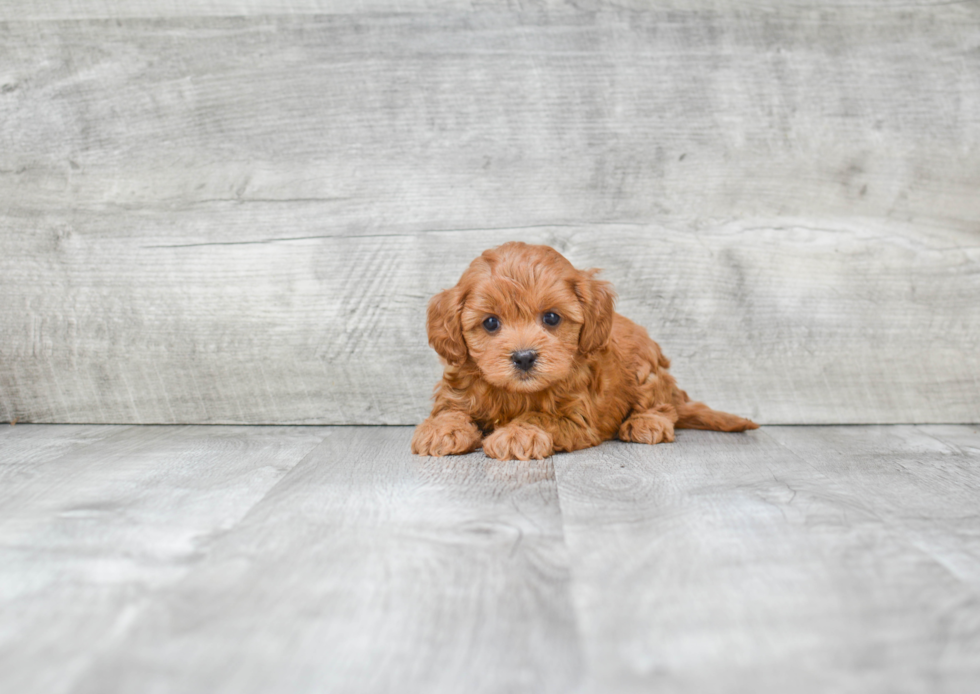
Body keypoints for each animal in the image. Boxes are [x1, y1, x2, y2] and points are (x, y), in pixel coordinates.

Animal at [410, 243, 756, 462]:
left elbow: (539, 416)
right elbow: (450, 410)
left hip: (647, 371)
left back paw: (646, 423)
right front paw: (441, 430)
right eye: (491, 322)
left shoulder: (576, 417)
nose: (524, 357)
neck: (516, 394)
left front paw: (517, 435)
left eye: (551, 318)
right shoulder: (456, 390)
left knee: (662, 407)